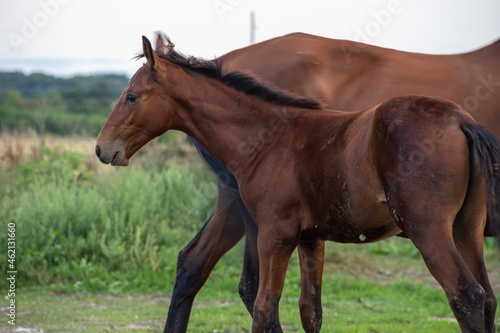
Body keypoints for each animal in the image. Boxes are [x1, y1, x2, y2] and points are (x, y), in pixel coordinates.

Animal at [95, 36, 498, 332]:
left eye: (131, 97)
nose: (103, 148)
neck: (269, 136)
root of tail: (461, 120)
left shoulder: (275, 235)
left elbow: (264, 308)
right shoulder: (310, 239)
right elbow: (310, 311)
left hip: (428, 230)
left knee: (466, 295)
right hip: (466, 230)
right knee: (488, 298)